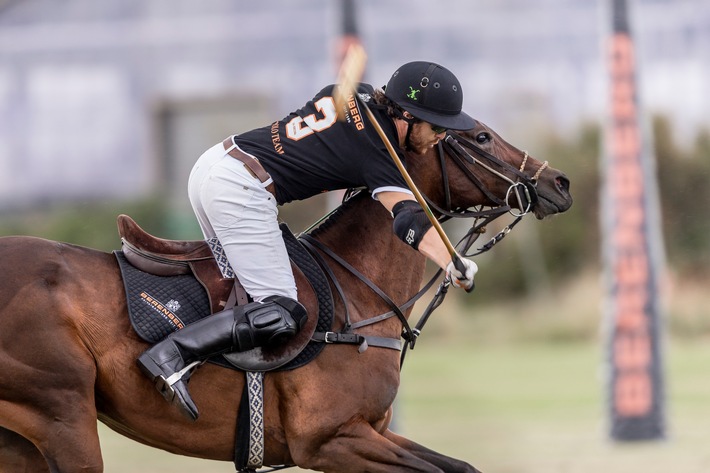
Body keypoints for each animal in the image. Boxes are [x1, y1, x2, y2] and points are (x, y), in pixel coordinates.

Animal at [0, 123, 572, 470]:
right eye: (479, 136)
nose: (559, 183)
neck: (356, 293)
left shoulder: (371, 432)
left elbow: (461, 465)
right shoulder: (329, 441)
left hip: (23, 440)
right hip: (62, 419)